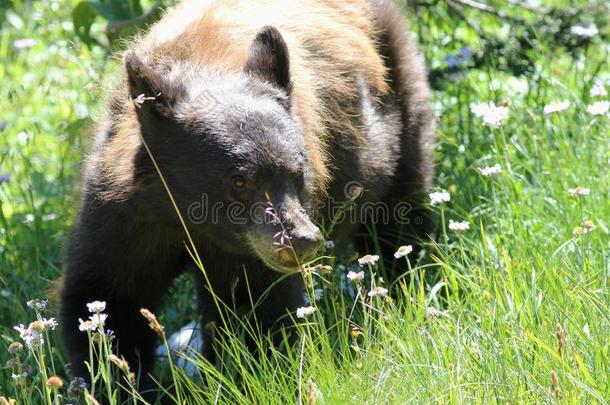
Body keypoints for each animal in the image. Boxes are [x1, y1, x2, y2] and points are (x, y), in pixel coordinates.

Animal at [58, 0, 432, 392]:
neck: (185, 215)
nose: (303, 240)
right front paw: (122, 385)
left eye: (298, 173)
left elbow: (256, 309)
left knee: (398, 215)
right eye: (239, 181)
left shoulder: (247, 251)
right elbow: (108, 295)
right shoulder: (125, 215)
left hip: (400, 106)